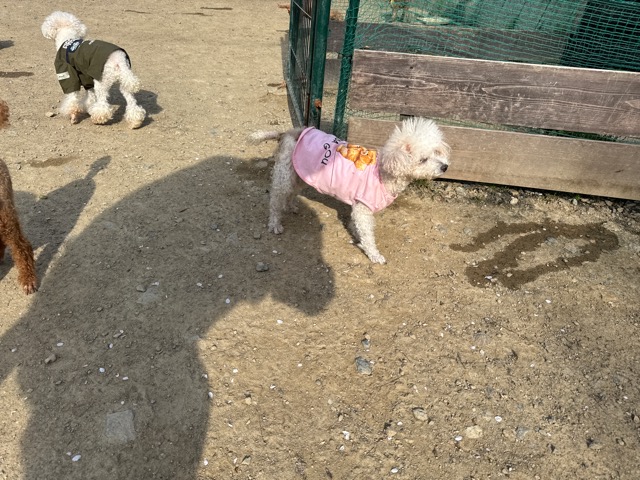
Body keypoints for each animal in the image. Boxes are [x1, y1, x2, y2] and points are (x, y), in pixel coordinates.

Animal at [250, 117, 450, 264]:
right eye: (423, 160)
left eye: (437, 152)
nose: (445, 167)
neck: (384, 173)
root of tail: (289, 132)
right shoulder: (363, 209)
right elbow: (368, 235)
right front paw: (374, 255)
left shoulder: (358, 207)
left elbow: (358, 227)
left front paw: (355, 234)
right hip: (284, 175)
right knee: (276, 199)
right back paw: (275, 223)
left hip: (300, 174)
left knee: (291, 192)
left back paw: (291, 206)